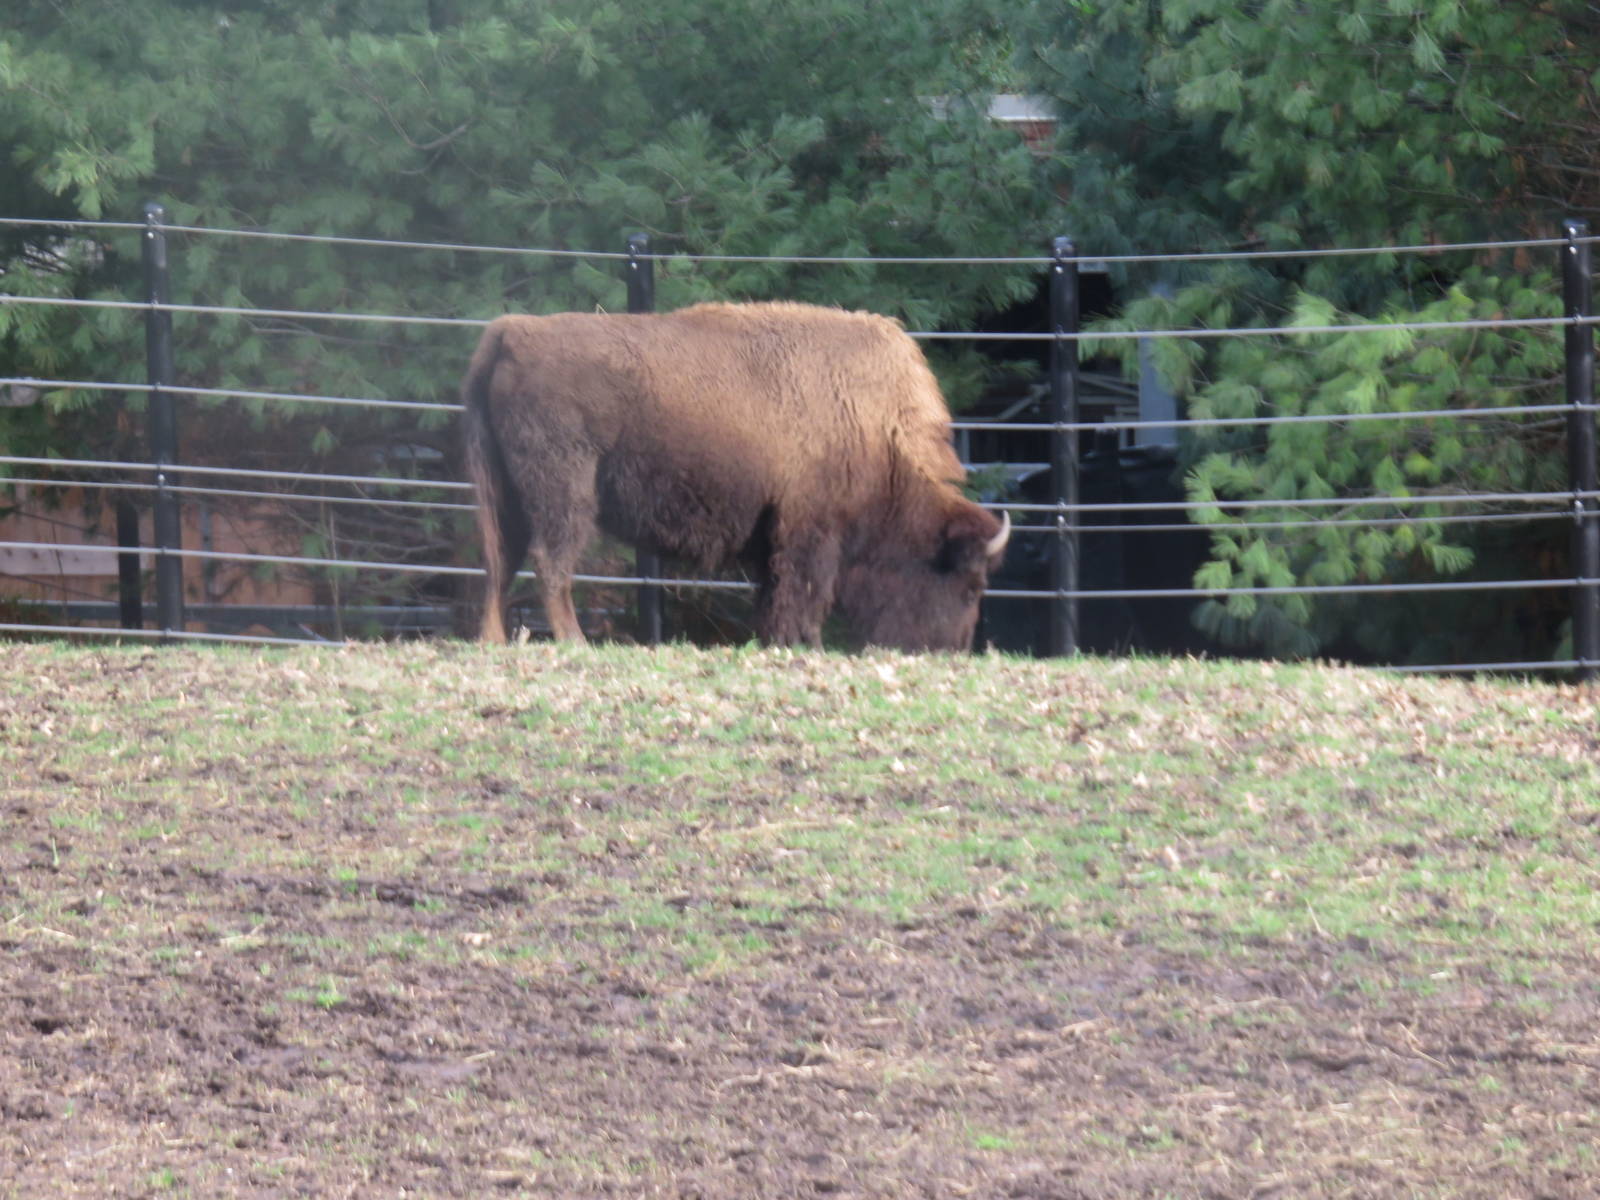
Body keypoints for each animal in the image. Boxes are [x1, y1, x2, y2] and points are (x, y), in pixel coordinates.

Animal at [462, 301, 1008, 651]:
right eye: (971, 586)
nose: (954, 650)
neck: (878, 430)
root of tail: (513, 333)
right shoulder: (810, 530)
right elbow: (804, 590)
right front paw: (803, 643)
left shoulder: (778, 534)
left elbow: (775, 590)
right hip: (564, 488)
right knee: (549, 559)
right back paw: (574, 641)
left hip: (503, 489)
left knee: (499, 558)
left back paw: (493, 640)